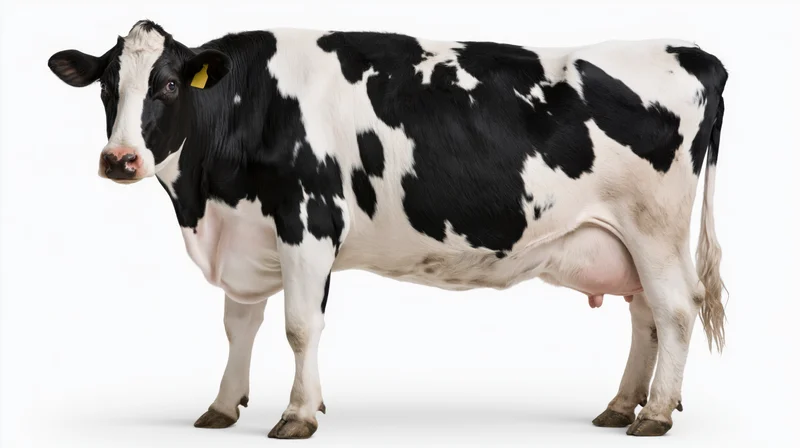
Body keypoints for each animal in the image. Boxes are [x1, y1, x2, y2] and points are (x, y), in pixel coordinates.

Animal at [47, 19, 727, 439]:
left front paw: (298, 413)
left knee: (676, 307)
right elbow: (239, 326)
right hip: (625, 239)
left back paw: (655, 413)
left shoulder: (308, 220)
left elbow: (299, 326)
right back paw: (620, 405)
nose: (119, 159)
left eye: (166, 85)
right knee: (644, 314)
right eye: (107, 87)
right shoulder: (247, 232)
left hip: (655, 228)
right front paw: (221, 405)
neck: (207, 199)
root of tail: (694, 53)